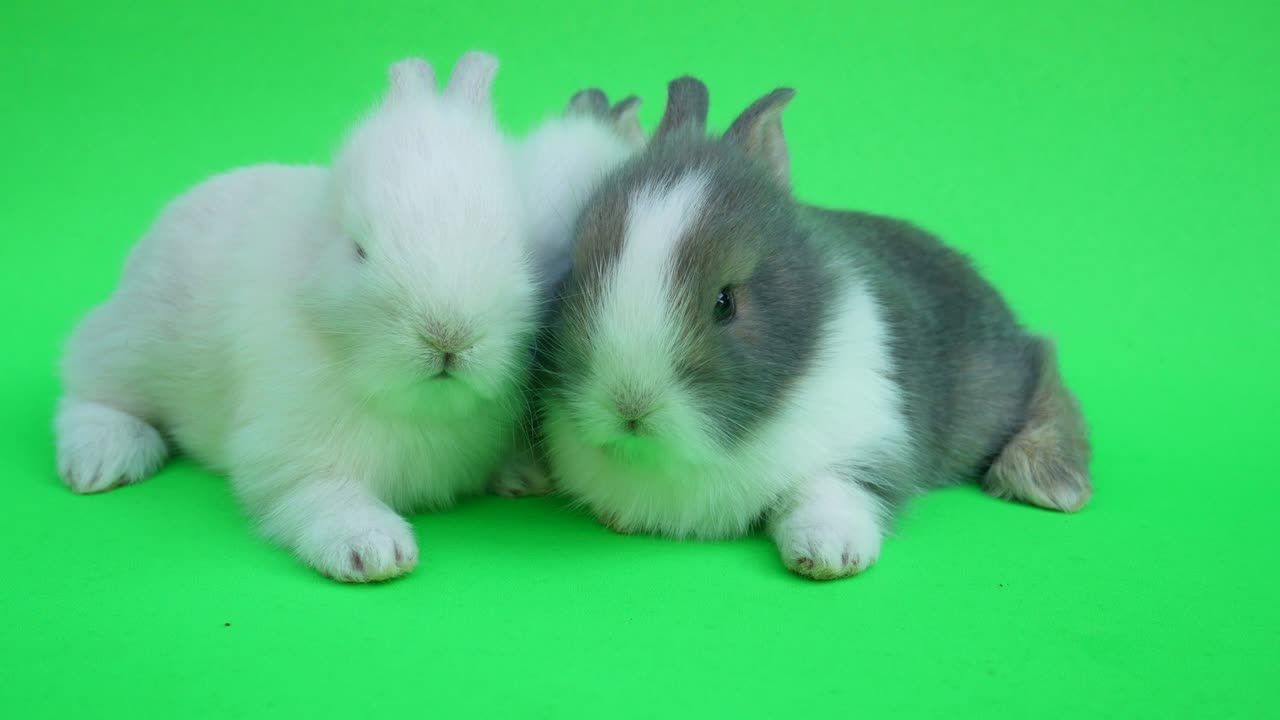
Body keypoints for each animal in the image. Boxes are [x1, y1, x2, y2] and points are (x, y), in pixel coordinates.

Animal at [55, 53, 541, 583]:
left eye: (520, 249)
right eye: (358, 250)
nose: (448, 337)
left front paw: (524, 475)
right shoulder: (291, 453)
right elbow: (321, 496)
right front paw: (373, 552)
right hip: (132, 343)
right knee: (85, 391)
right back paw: (102, 460)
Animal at [537, 77, 1092, 581]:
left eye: (725, 302)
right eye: (577, 272)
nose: (629, 406)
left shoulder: (866, 437)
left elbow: (830, 491)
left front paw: (828, 556)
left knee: (1044, 367)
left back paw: (1047, 479)